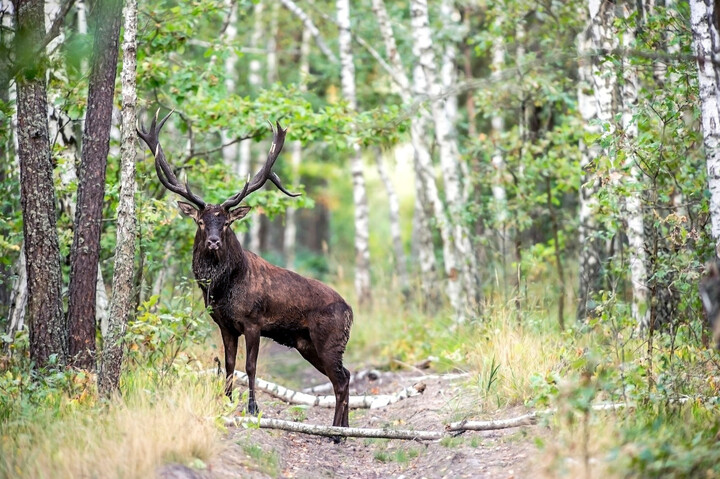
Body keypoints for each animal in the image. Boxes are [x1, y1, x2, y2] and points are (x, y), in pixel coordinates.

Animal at [137, 110, 353, 428]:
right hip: (307, 345)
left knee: (341, 380)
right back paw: (343, 428)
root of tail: (351, 311)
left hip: (329, 340)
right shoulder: (225, 325)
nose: (213, 242)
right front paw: (225, 402)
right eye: (200, 221)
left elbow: (250, 367)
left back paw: (336, 431)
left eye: (227, 222)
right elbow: (229, 365)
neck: (222, 291)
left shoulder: (253, 322)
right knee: (345, 376)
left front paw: (252, 408)